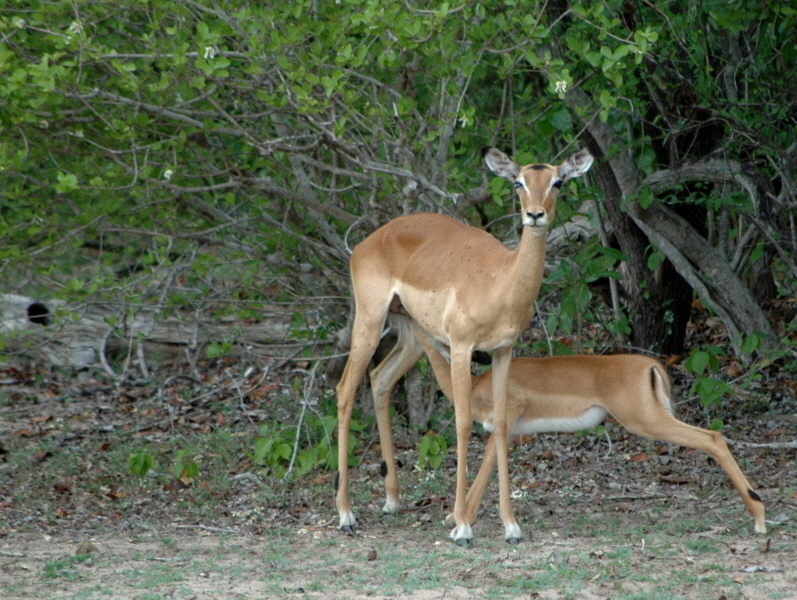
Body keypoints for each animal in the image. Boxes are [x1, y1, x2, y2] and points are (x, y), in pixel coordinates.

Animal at [335, 147, 593, 546]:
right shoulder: (461, 347)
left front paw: (511, 526)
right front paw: (462, 527)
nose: (535, 215)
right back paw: (346, 515)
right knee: (345, 390)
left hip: (411, 336)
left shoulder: (503, 351)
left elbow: (500, 424)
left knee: (379, 379)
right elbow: (461, 423)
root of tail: (367, 242)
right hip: (369, 323)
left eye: (558, 181)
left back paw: (392, 500)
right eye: (518, 182)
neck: (500, 282)